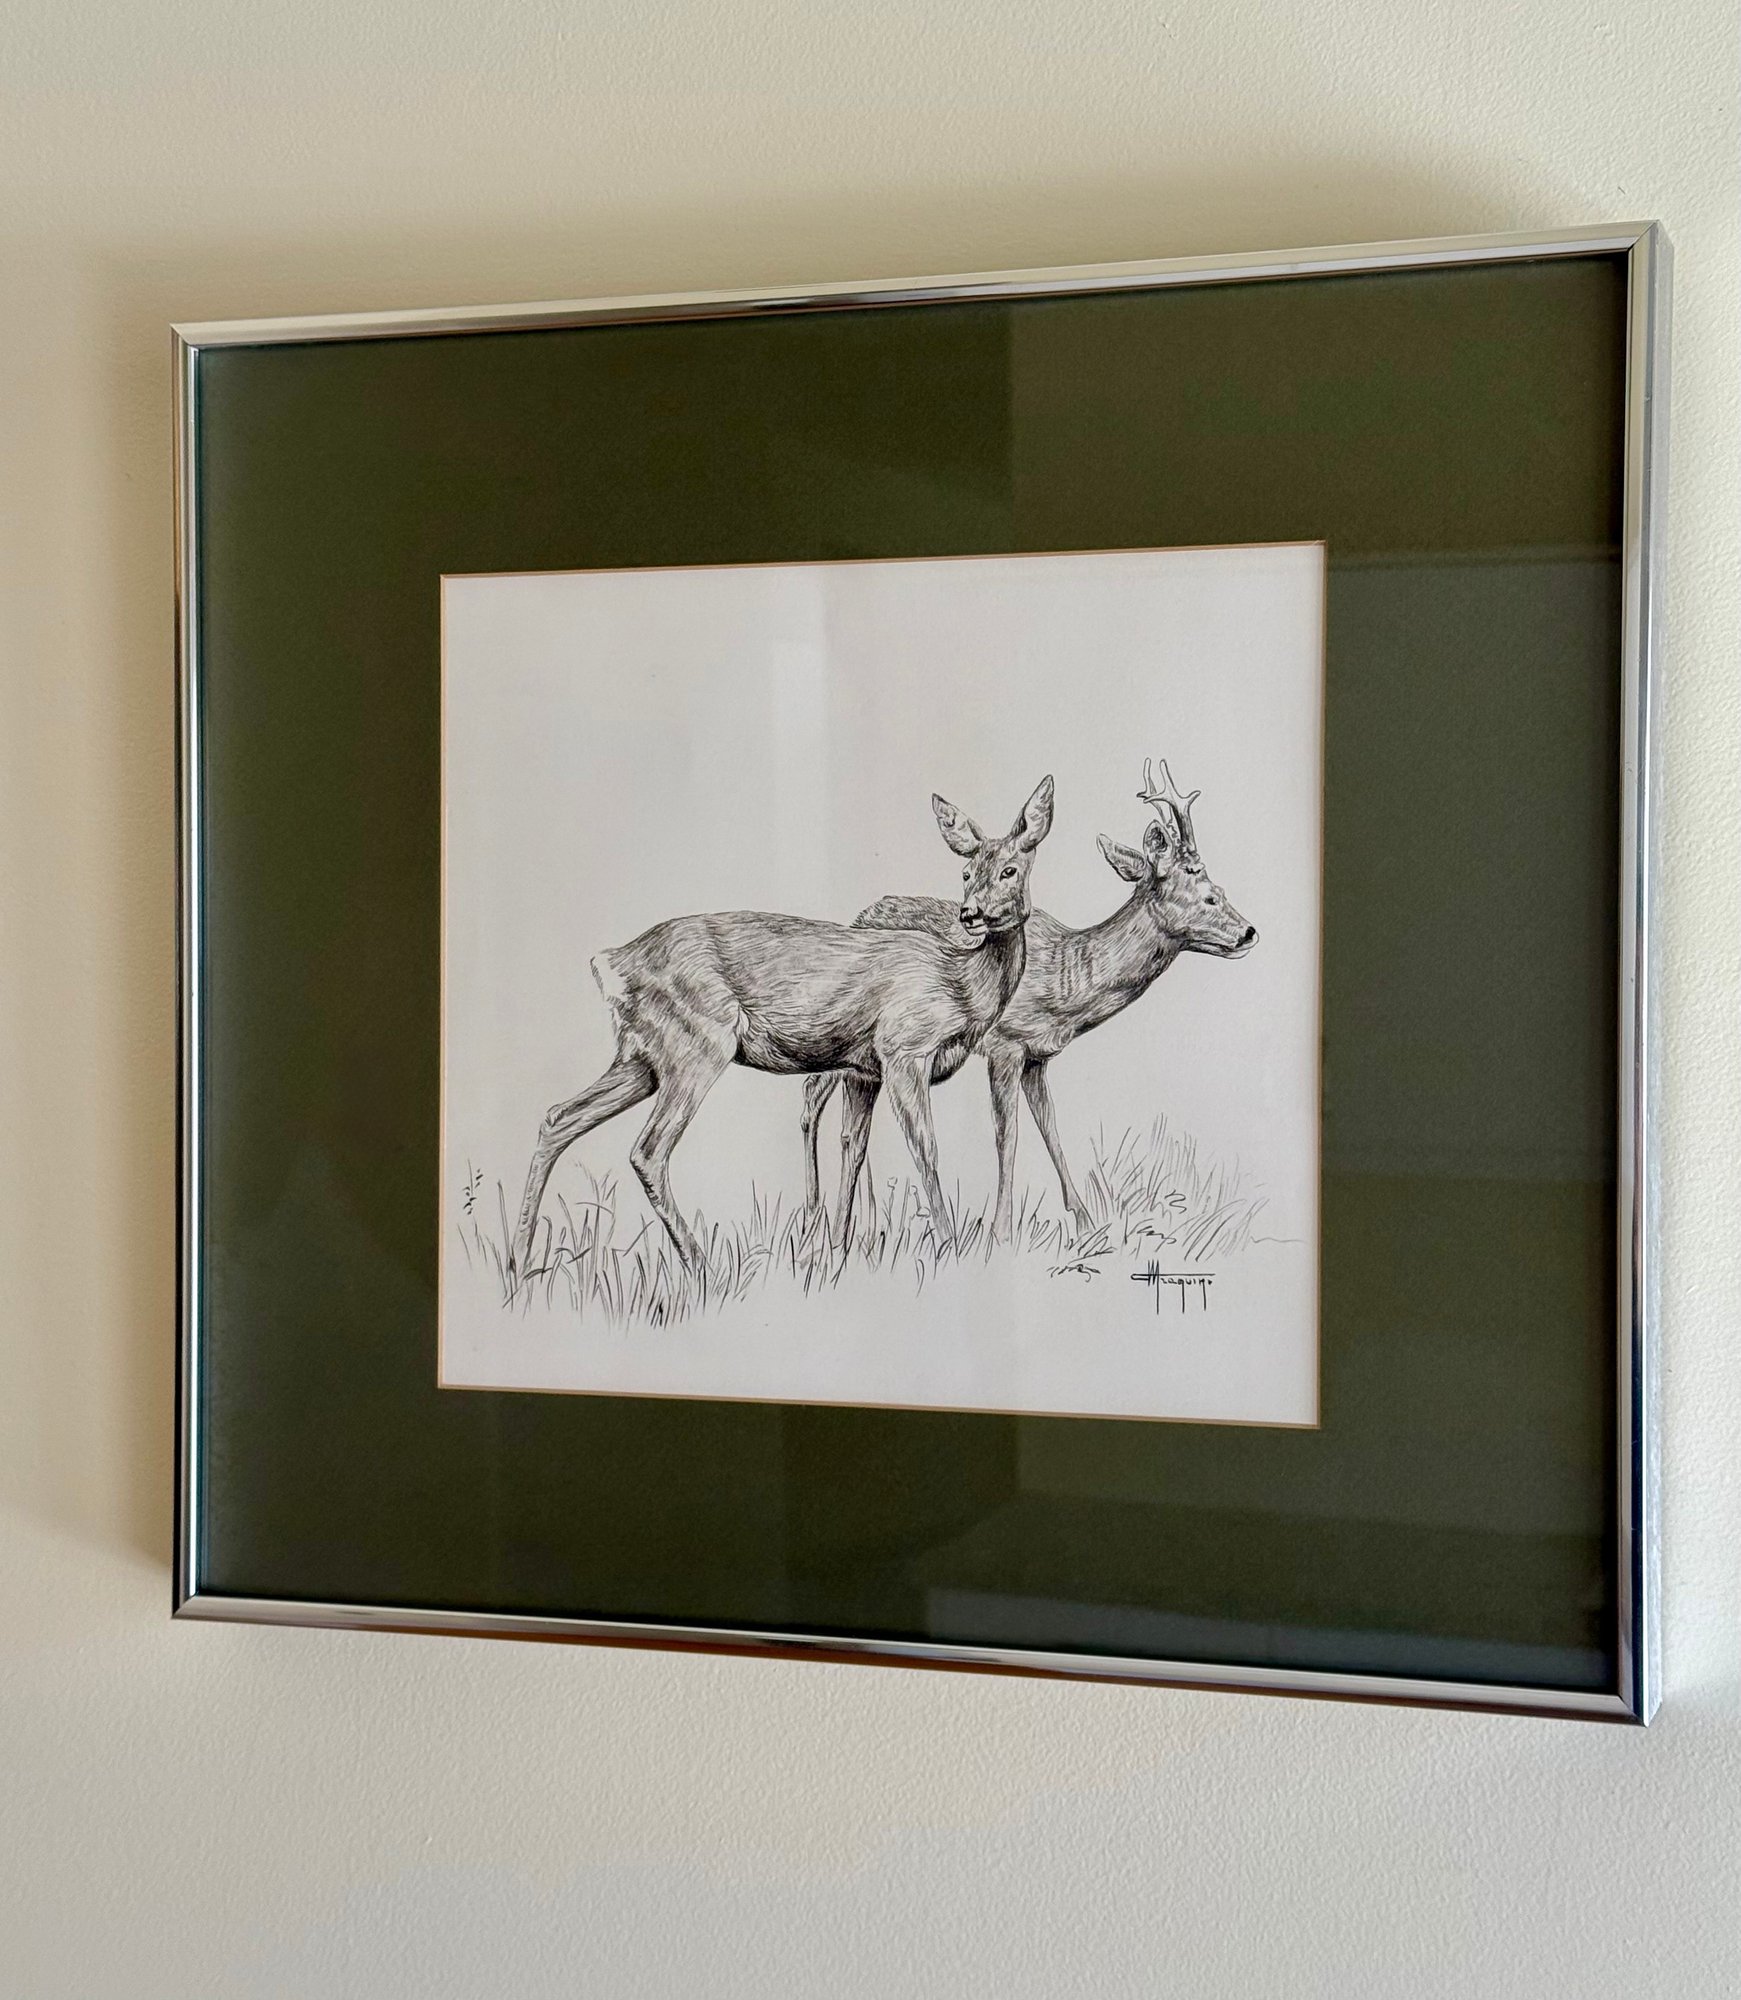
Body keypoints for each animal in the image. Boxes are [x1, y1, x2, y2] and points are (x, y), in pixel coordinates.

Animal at [509, 776, 1055, 1282]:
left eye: (1009, 869)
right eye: (965, 872)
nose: (970, 914)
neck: (959, 986)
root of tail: (612, 965)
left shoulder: (865, 1070)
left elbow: (854, 1149)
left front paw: (836, 1252)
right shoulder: (904, 1048)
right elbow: (926, 1149)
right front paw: (949, 1246)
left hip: (641, 1056)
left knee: (559, 1116)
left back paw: (520, 1263)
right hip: (697, 1043)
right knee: (647, 1150)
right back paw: (702, 1267)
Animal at [801, 760, 1256, 1246]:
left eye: (1219, 886)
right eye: (1204, 893)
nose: (1249, 931)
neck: (1066, 983)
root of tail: (859, 916)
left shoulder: (1039, 1056)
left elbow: (1050, 1128)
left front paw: (1085, 1220)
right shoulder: (1005, 1045)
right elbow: (1008, 1135)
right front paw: (1000, 1231)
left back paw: (855, 1225)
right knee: (812, 1097)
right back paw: (817, 1216)